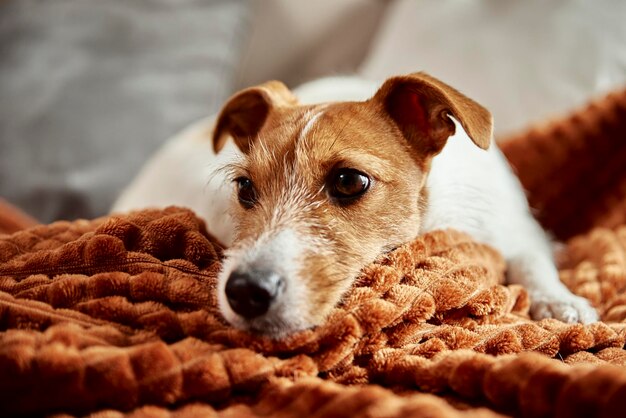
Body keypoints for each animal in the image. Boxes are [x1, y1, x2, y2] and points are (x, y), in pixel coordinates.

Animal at [112, 71, 596, 336]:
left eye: (349, 181)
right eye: (245, 188)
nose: (246, 292)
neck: (435, 210)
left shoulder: (518, 229)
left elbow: (533, 261)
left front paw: (559, 301)